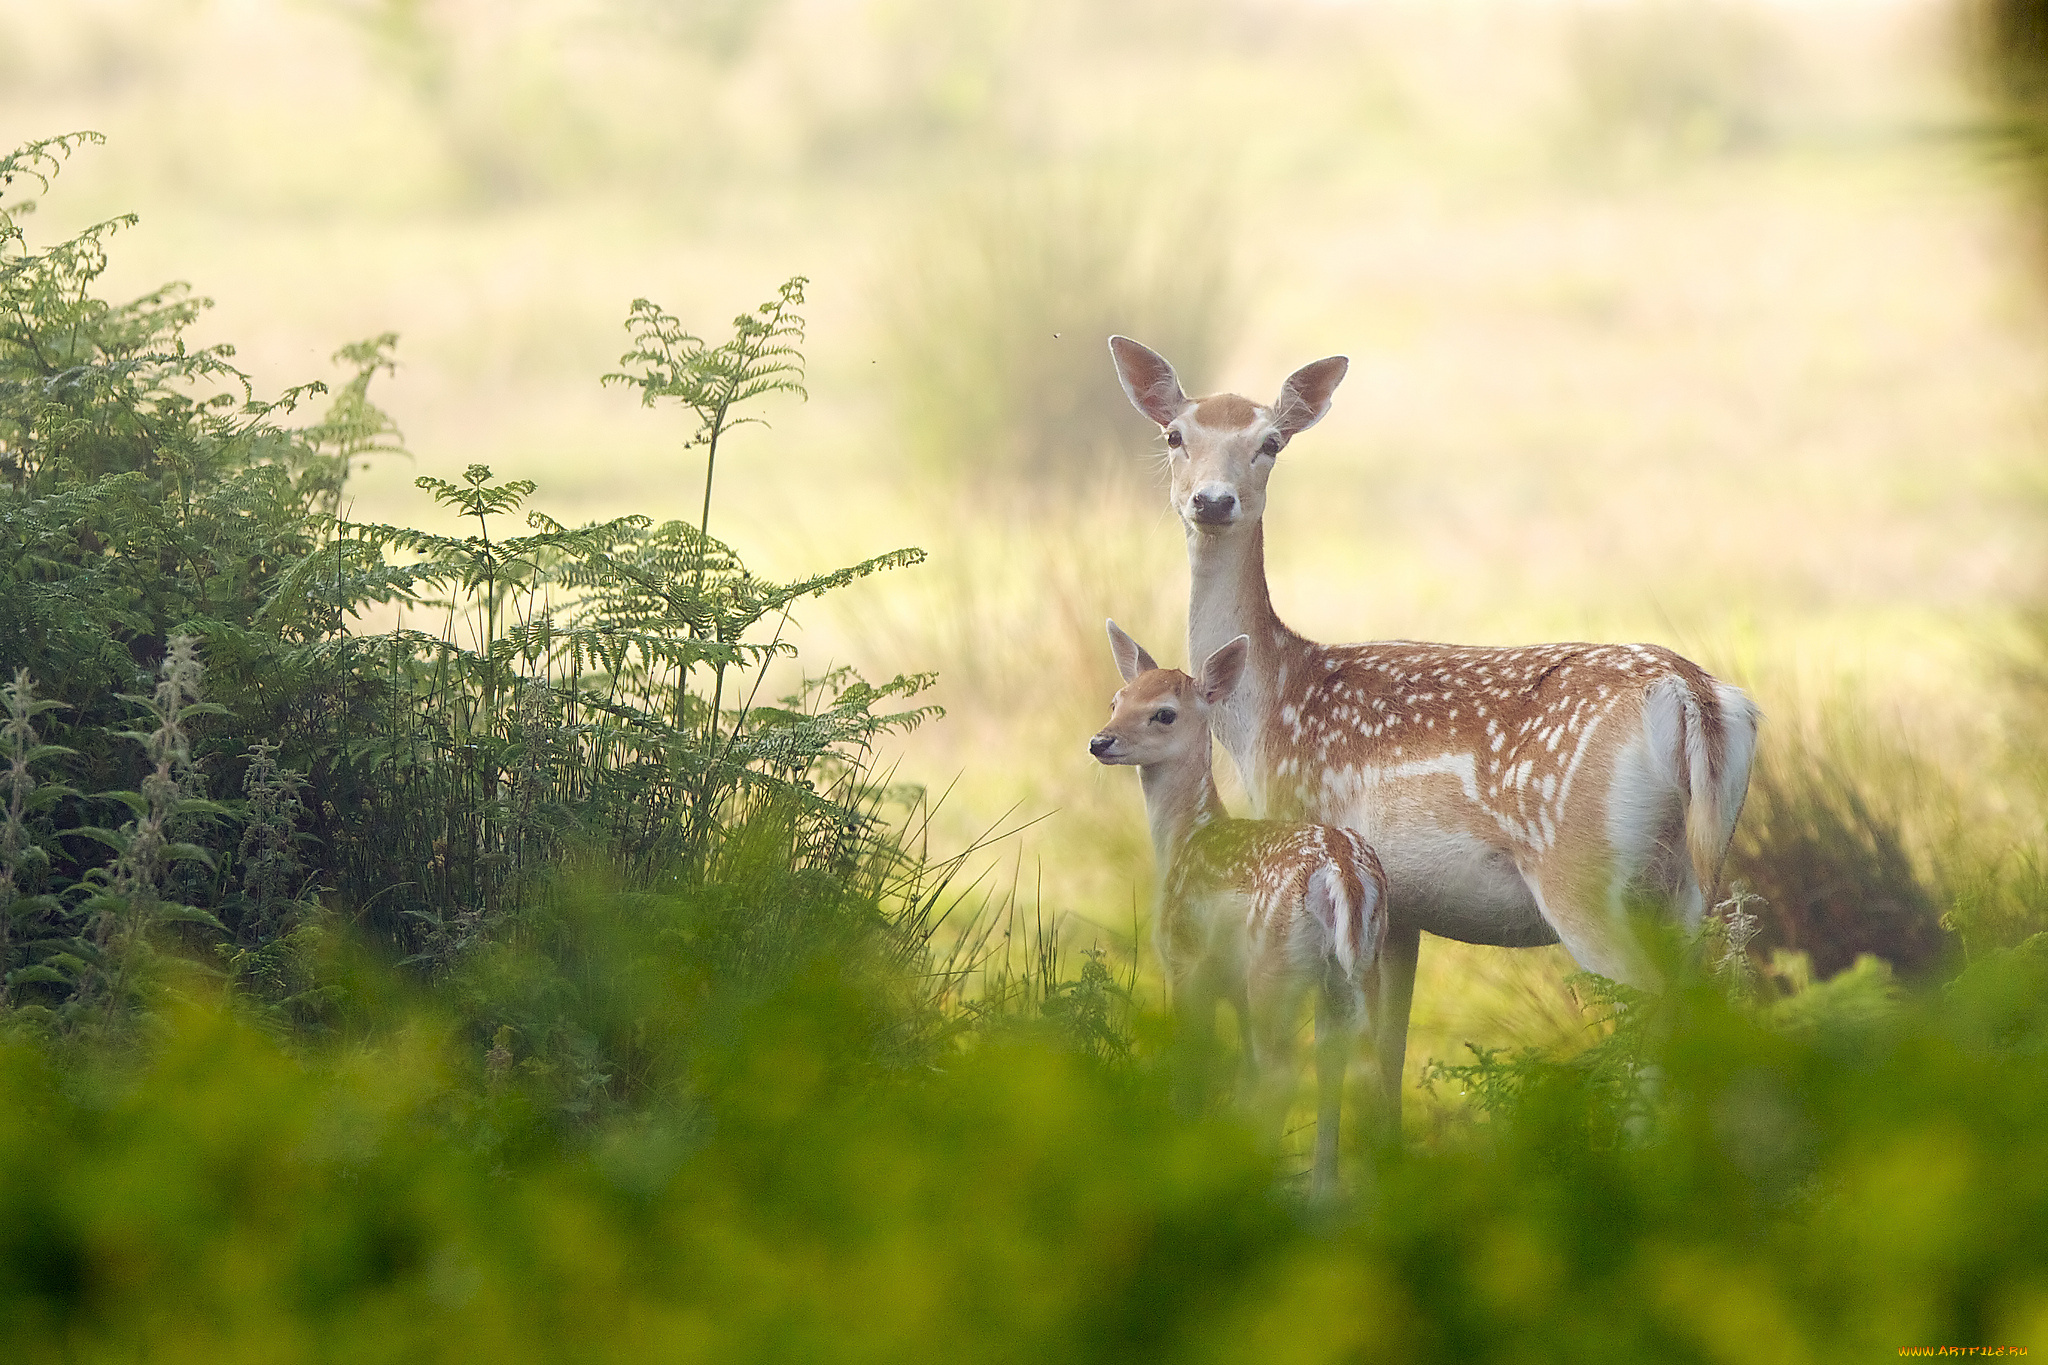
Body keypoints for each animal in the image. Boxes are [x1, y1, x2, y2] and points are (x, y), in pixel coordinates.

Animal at [1105, 335, 1761, 1113]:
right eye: (1176, 435)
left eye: (1270, 442)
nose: (1212, 500)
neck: (1266, 710)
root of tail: (1693, 696)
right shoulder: (1403, 911)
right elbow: (1387, 1064)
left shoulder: (1313, 823)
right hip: (1687, 880)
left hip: (1583, 868)